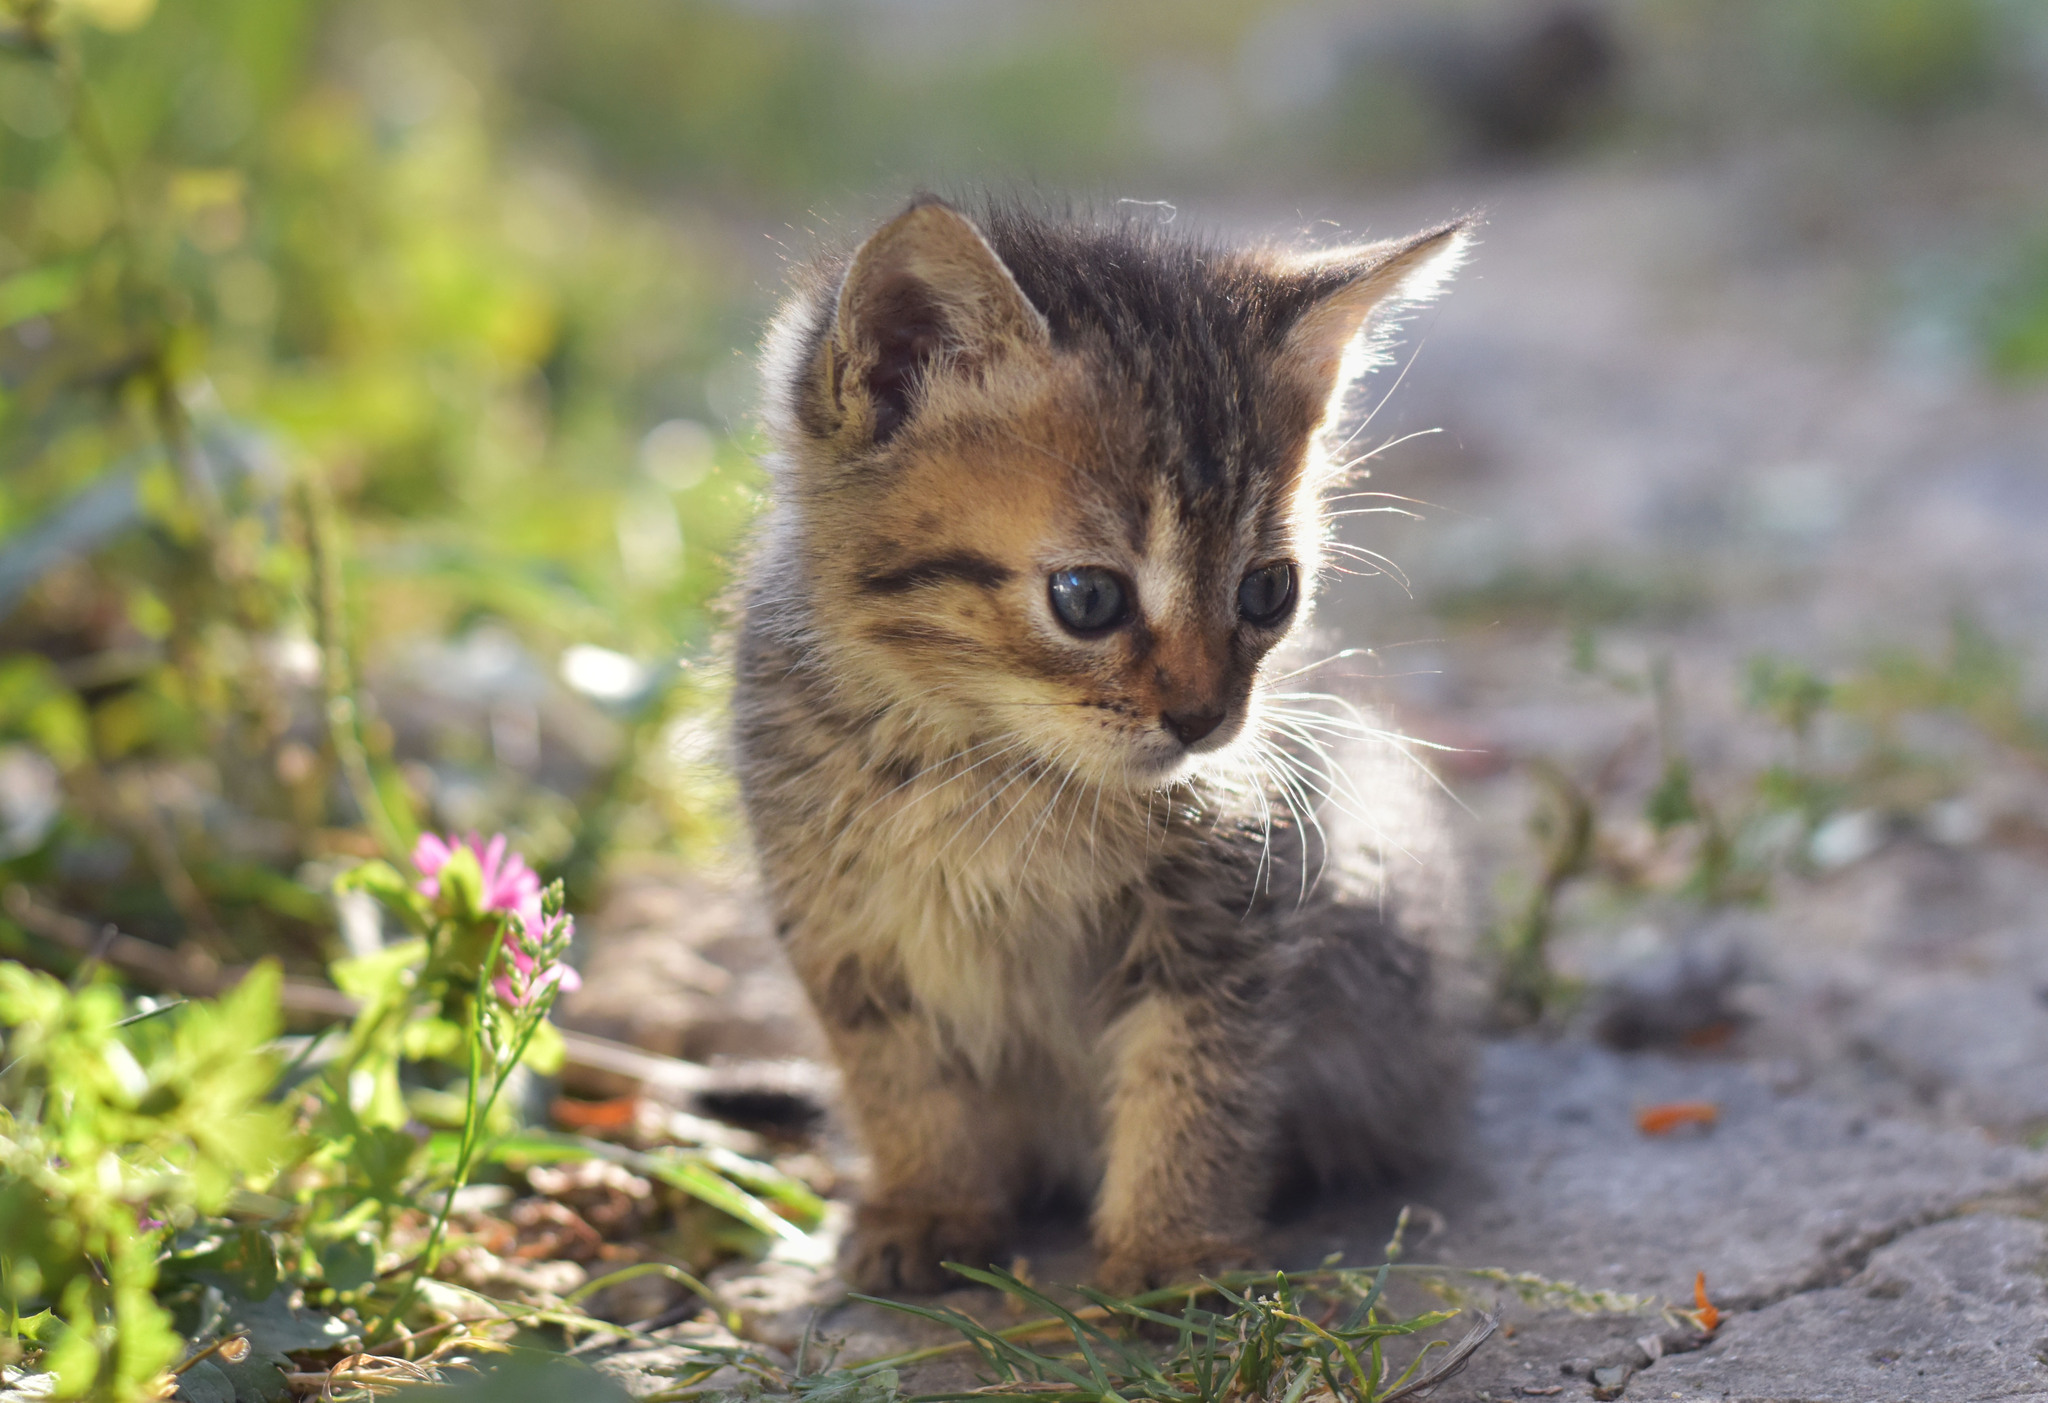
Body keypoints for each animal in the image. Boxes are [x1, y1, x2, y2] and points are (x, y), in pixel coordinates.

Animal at [737, 196, 1474, 1294]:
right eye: (1086, 597)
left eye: (1269, 590)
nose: (1205, 718)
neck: (995, 763)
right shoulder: (840, 919)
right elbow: (900, 1078)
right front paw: (929, 1203)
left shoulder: (1229, 906)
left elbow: (1194, 1077)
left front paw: (1172, 1247)